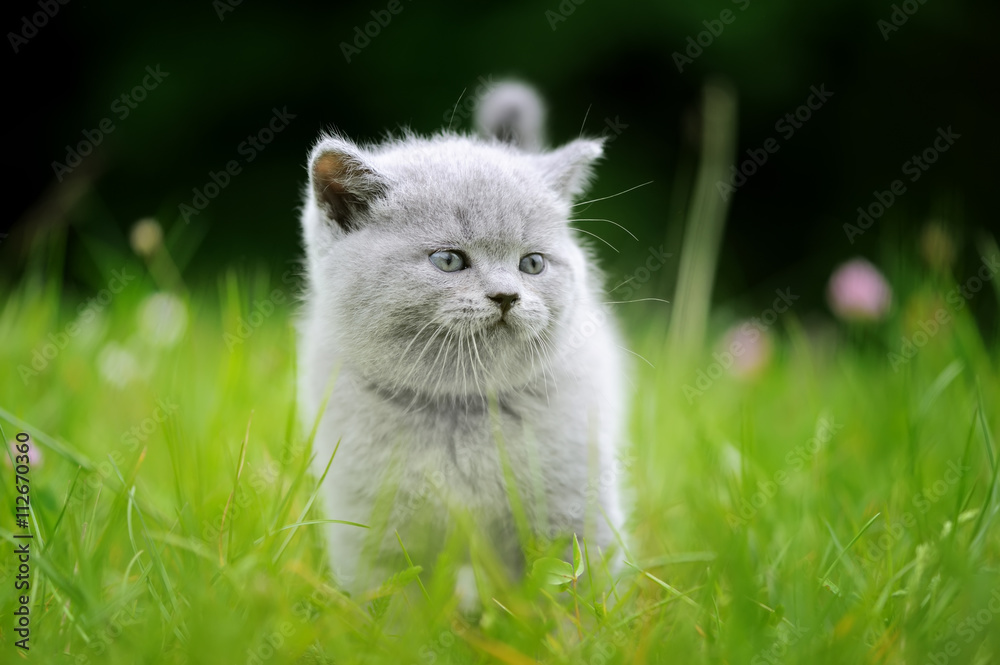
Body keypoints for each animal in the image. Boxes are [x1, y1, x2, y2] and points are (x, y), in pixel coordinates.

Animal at [292, 80, 628, 600]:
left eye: (532, 263)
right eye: (448, 260)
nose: (507, 296)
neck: (460, 407)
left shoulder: (576, 507)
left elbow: (577, 592)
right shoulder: (373, 528)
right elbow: (391, 603)